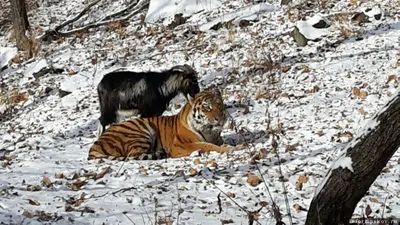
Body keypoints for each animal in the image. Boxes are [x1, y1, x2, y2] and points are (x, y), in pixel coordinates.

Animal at [87, 88, 231, 160]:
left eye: (219, 104)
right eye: (207, 107)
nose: (219, 118)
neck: (209, 131)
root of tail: (95, 144)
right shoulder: (179, 145)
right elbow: (206, 146)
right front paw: (231, 148)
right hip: (140, 131)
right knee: (133, 155)